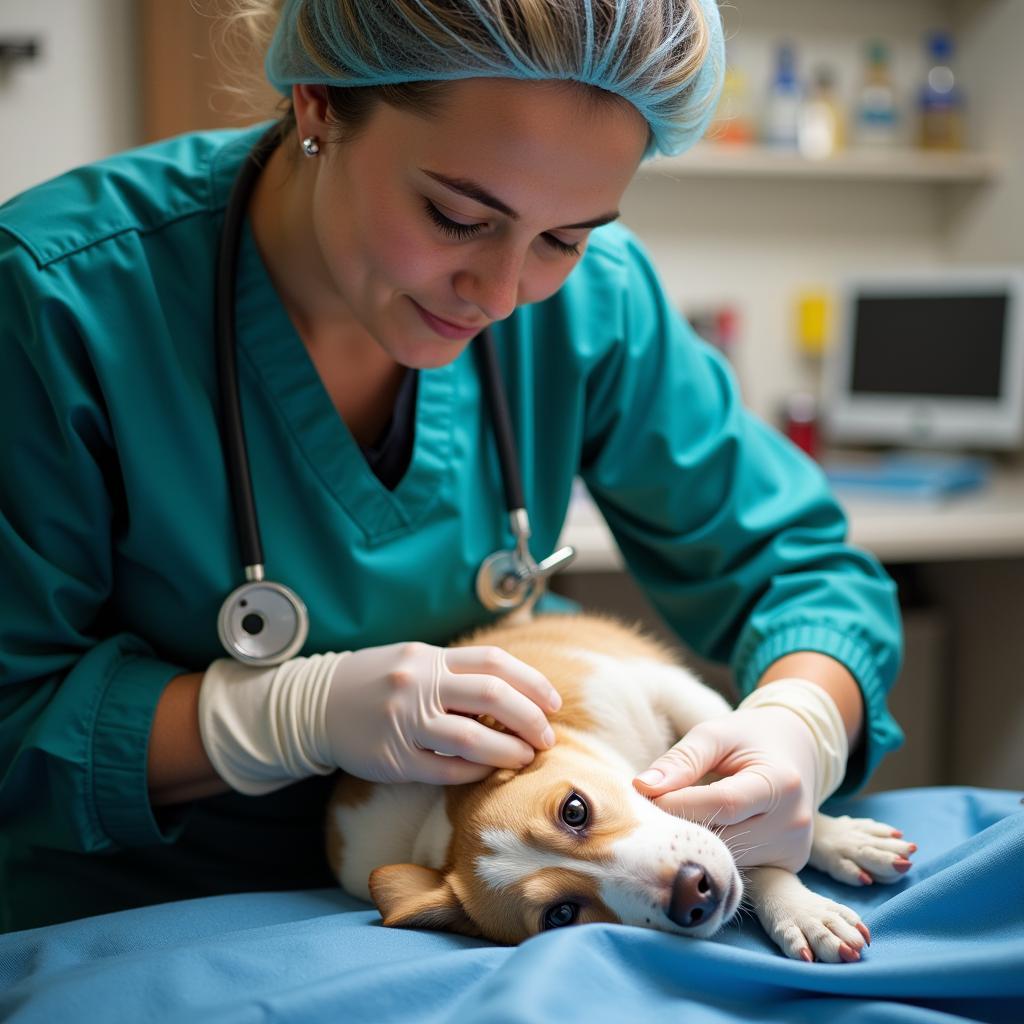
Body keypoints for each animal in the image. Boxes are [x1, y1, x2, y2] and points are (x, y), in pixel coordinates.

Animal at [325, 614, 913, 958]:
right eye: (562, 915)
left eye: (574, 810)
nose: (693, 894)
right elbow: (746, 850)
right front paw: (803, 912)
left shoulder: (666, 691)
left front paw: (833, 850)